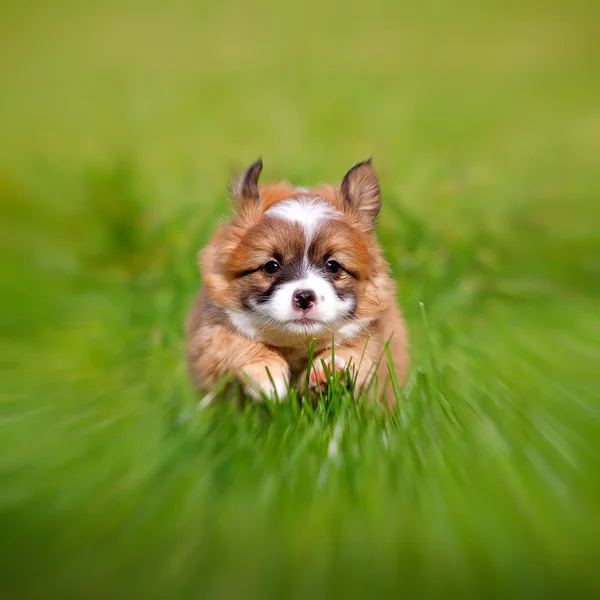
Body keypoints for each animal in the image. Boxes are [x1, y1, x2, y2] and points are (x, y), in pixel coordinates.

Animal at [186, 158, 408, 408]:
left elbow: (351, 352)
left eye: (333, 266)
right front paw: (268, 376)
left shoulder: (370, 342)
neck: (295, 342)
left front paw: (328, 371)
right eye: (271, 266)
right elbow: (236, 343)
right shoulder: (212, 336)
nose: (304, 297)